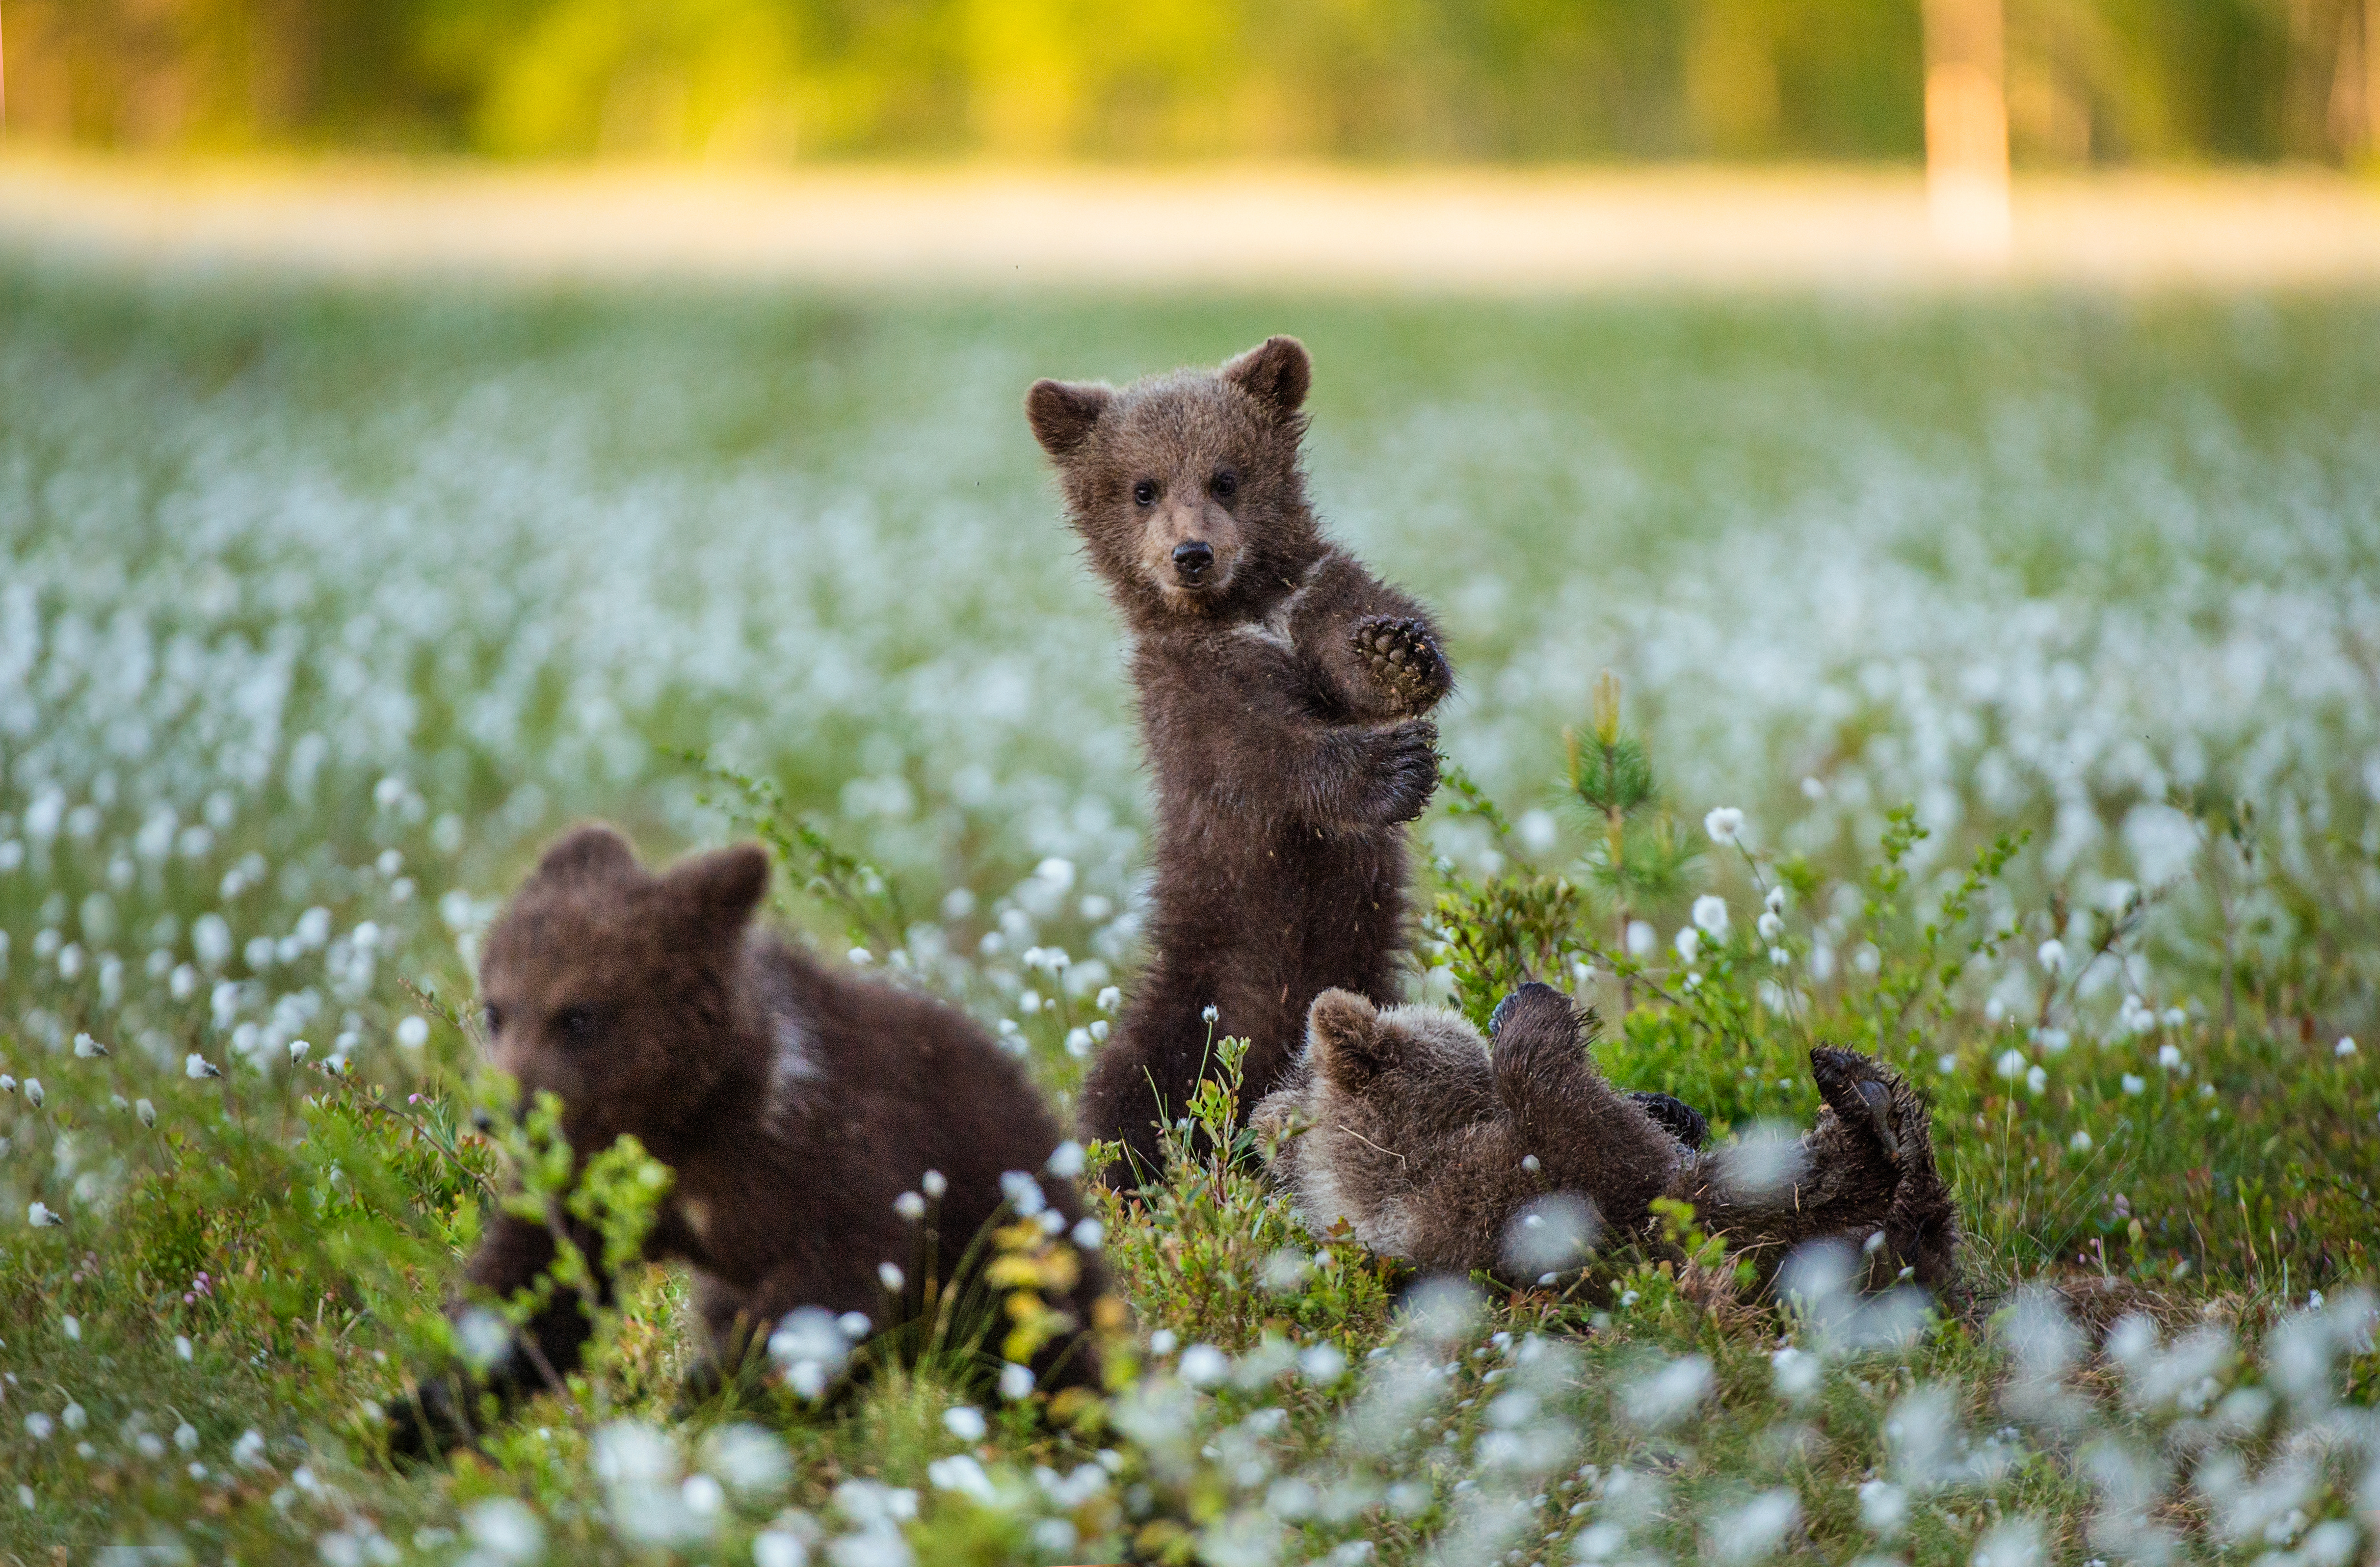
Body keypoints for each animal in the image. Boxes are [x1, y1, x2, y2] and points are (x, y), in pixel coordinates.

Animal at [388, 824, 1108, 1457]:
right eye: (495, 1010)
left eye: (579, 1015)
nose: (499, 1115)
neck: (694, 1116)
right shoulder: (601, 1181)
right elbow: (533, 1283)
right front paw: (418, 1415)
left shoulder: (837, 1161)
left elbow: (822, 1289)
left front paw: (708, 1398)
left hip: (1000, 1222)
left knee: (1047, 1338)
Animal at [1027, 335, 1453, 1187]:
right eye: (1143, 488)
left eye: (1225, 476)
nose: (1192, 553)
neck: (1238, 612)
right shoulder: (1189, 695)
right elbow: (1261, 758)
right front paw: (1390, 770)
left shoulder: (1313, 597)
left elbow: (1355, 643)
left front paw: (1397, 656)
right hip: (1191, 994)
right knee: (1127, 1087)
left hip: (1365, 976)